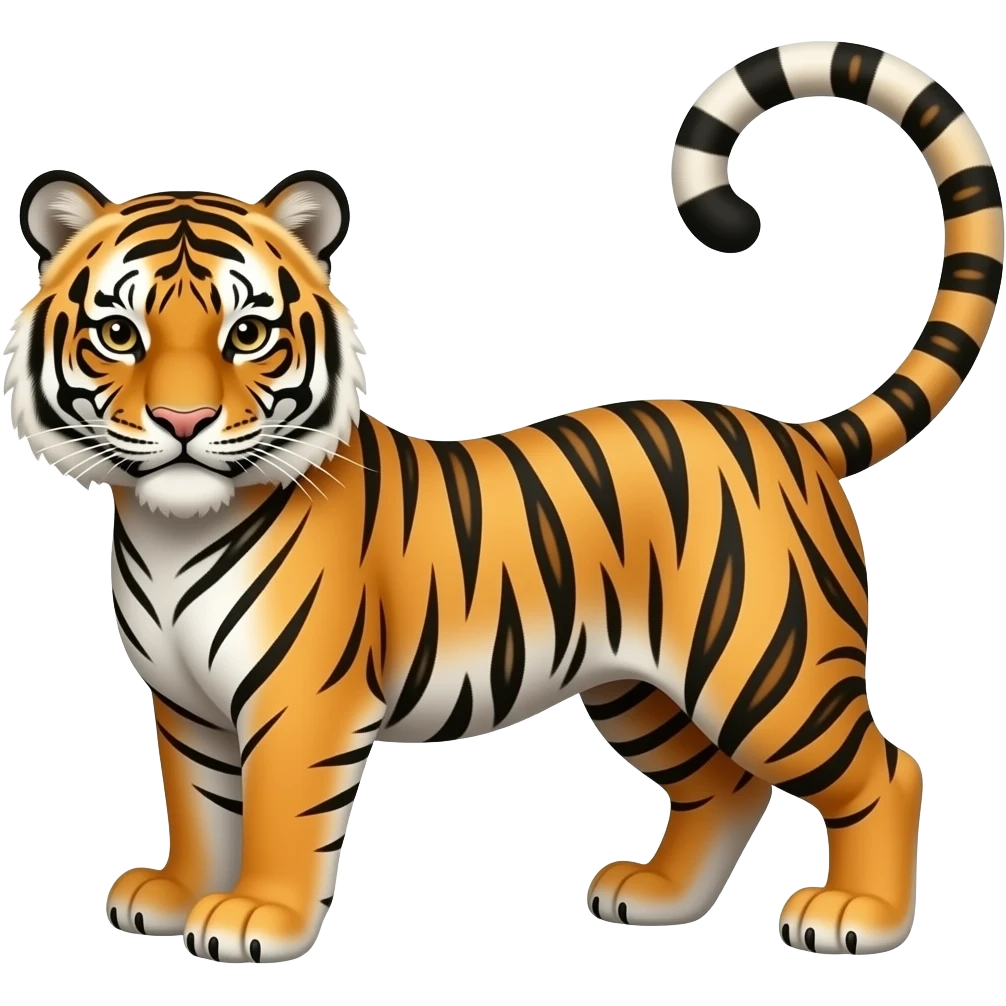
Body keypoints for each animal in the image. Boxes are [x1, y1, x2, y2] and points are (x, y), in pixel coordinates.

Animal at [5, 41, 1001, 962]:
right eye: (119, 334)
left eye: (247, 334)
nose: (183, 419)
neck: (170, 531)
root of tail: (798, 435)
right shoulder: (187, 706)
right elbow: (200, 806)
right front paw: (175, 895)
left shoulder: (300, 704)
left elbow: (281, 817)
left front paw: (257, 918)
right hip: (641, 688)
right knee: (724, 785)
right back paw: (660, 896)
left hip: (767, 670)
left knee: (887, 772)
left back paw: (857, 918)